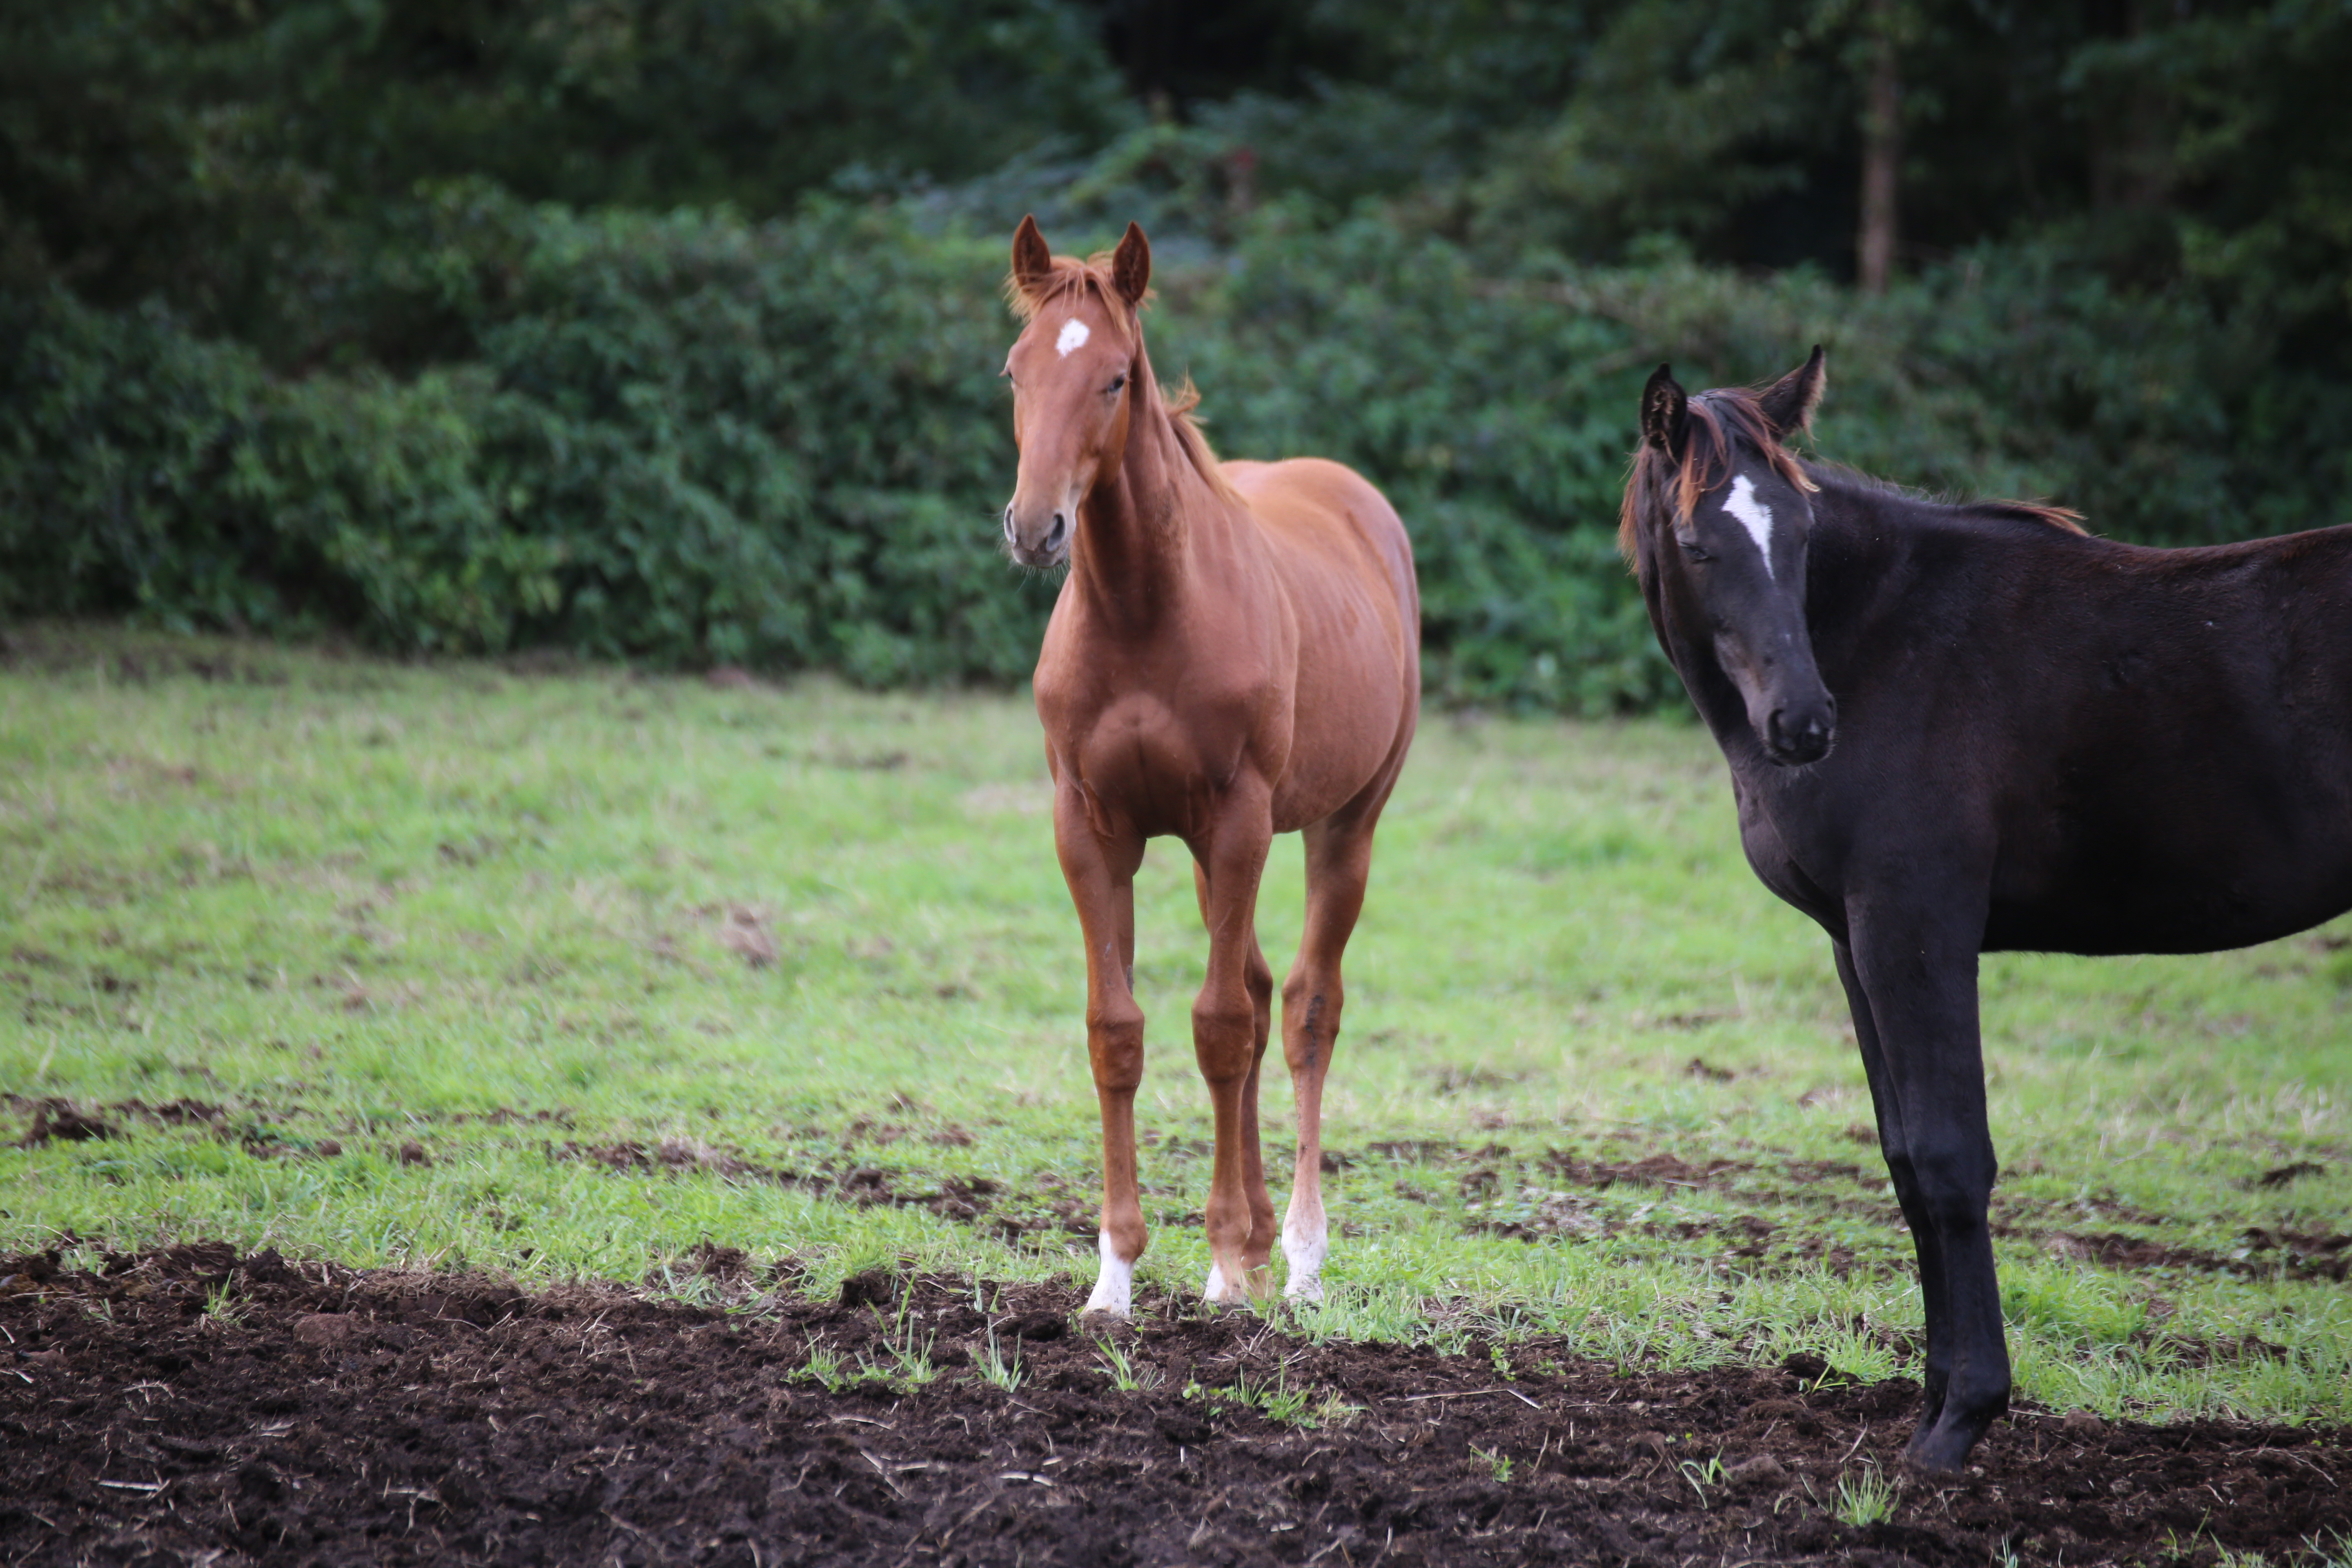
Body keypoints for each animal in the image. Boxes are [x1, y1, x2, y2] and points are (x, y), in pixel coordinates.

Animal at [997, 212, 1411, 1316]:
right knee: (1267, 992)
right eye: (1015, 370)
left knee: (1306, 1006)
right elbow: (1119, 1029)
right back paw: (1258, 1247)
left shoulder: (1235, 819)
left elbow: (1219, 1024)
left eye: (1114, 379)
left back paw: (1297, 1258)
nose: (1035, 527)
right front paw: (1115, 1276)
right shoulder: (1092, 826)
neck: (1147, 613)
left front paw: (1226, 1257)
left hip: (1340, 824)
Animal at [1618, 350, 2352, 1476]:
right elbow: (1904, 1161)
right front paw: (1929, 1400)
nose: (1804, 723)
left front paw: (1963, 1418)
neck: (1883, 641)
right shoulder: (1857, 942)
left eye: (1801, 534)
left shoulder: (1916, 928)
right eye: (1701, 542)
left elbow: (1952, 1158)